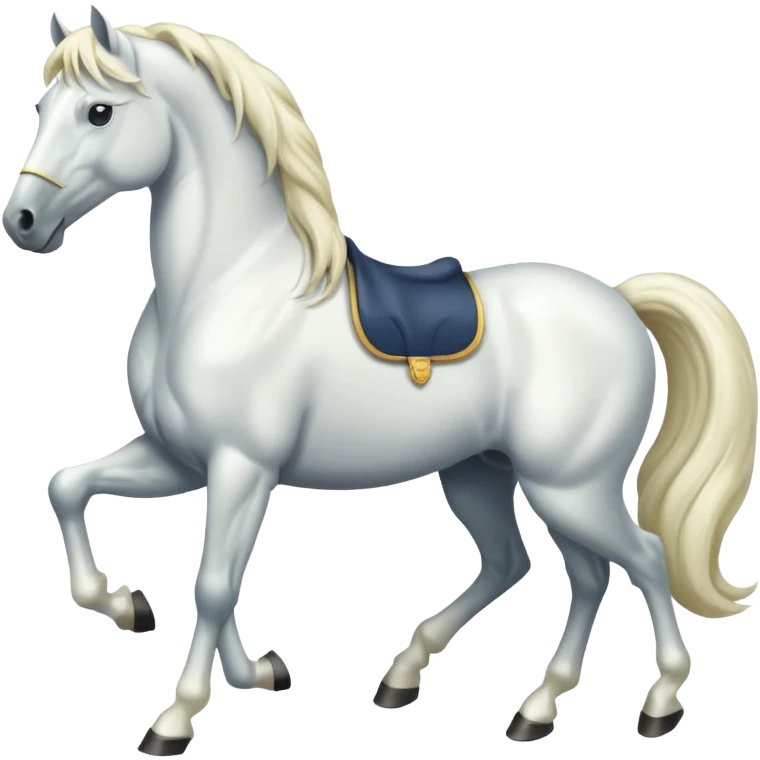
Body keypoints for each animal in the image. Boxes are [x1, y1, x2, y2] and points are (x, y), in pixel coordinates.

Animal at [3, 6, 757, 755]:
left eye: (100, 111)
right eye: (42, 106)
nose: (23, 222)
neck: (229, 286)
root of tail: (621, 302)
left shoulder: (241, 465)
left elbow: (213, 584)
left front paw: (174, 720)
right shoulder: (181, 459)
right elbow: (71, 488)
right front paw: (165, 625)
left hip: (572, 487)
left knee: (643, 558)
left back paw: (657, 705)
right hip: (491, 474)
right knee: (546, 567)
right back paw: (494, 699)